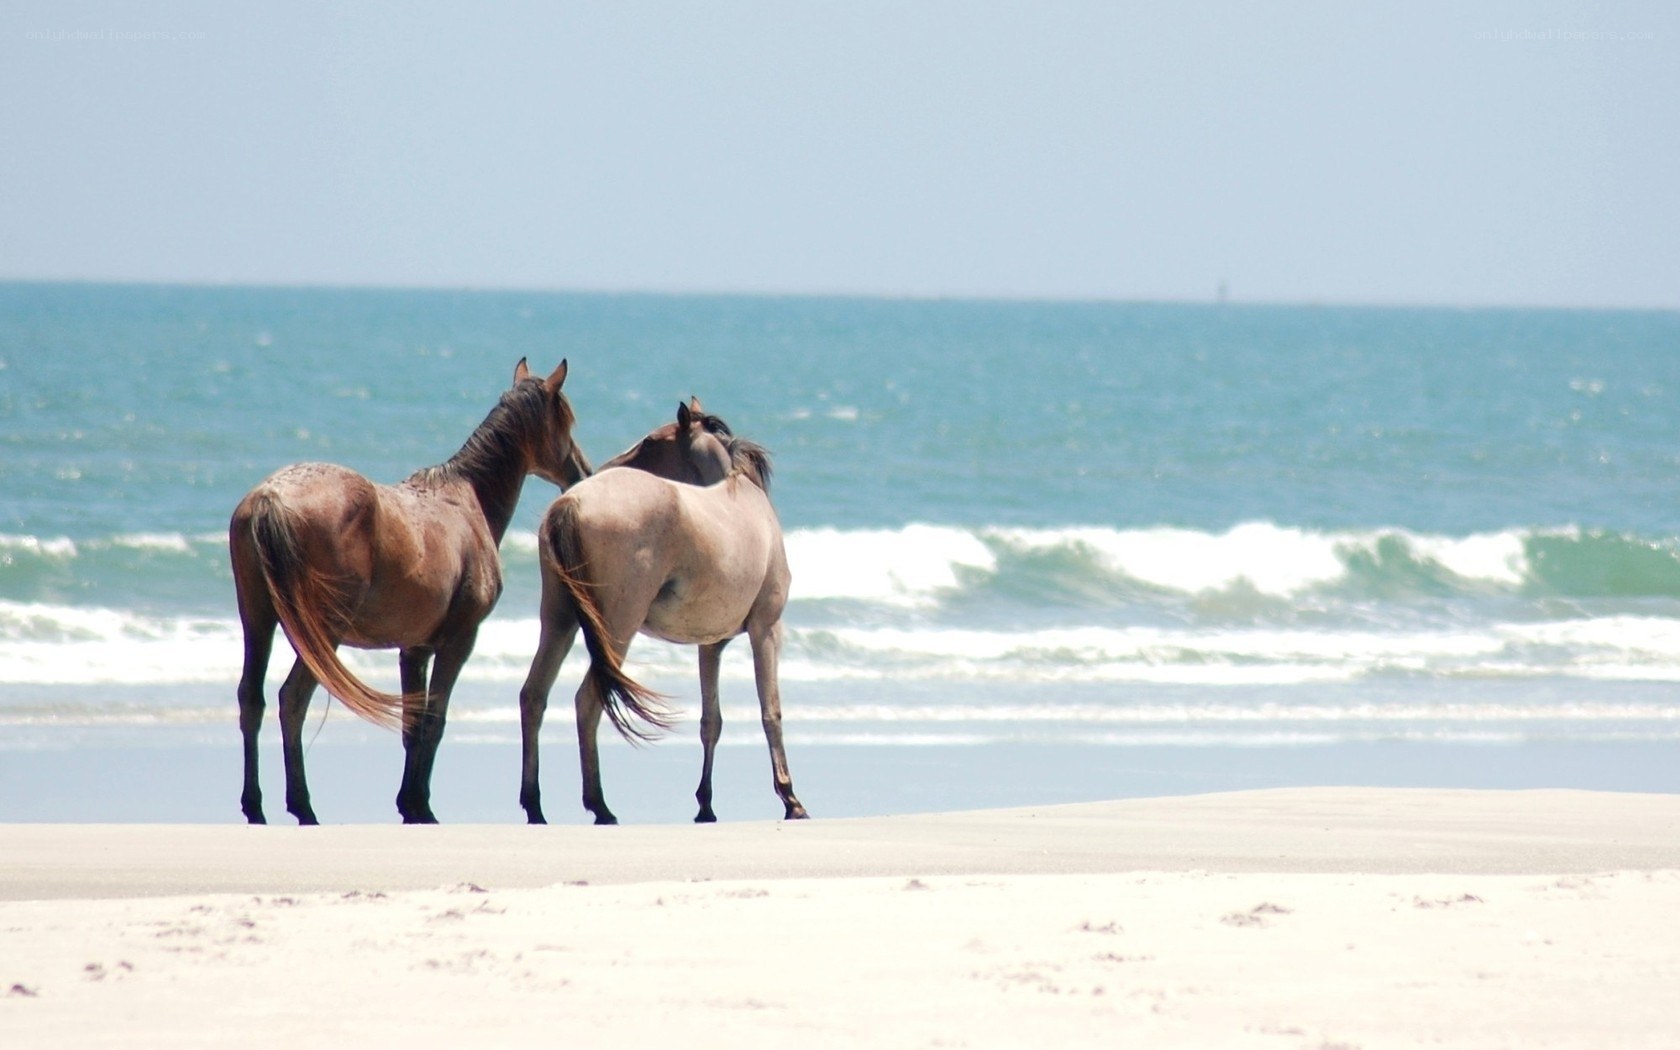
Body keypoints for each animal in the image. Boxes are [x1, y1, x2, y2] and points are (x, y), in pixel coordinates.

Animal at [230, 359, 590, 826]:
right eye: (566, 420)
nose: (582, 473)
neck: (466, 500)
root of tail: (269, 498)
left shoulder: (413, 649)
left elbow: (412, 725)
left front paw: (409, 804)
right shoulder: (458, 641)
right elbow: (433, 720)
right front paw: (422, 806)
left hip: (257, 620)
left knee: (251, 700)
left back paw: (255, 807)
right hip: (321, 634)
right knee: (292, 700)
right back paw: (303, 807)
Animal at [516, 397, 809, 825]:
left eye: (651, 441)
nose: (594, 468)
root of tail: (570, 503)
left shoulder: (711, 645)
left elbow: (711, 721)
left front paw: (705, 805)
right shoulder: (766, 629)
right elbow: (770, 712)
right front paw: (790, 799)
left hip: (559, 622)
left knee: (534, 696)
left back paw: (535, 806)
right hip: (617, 628)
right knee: (588, 701)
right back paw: (600, 806)